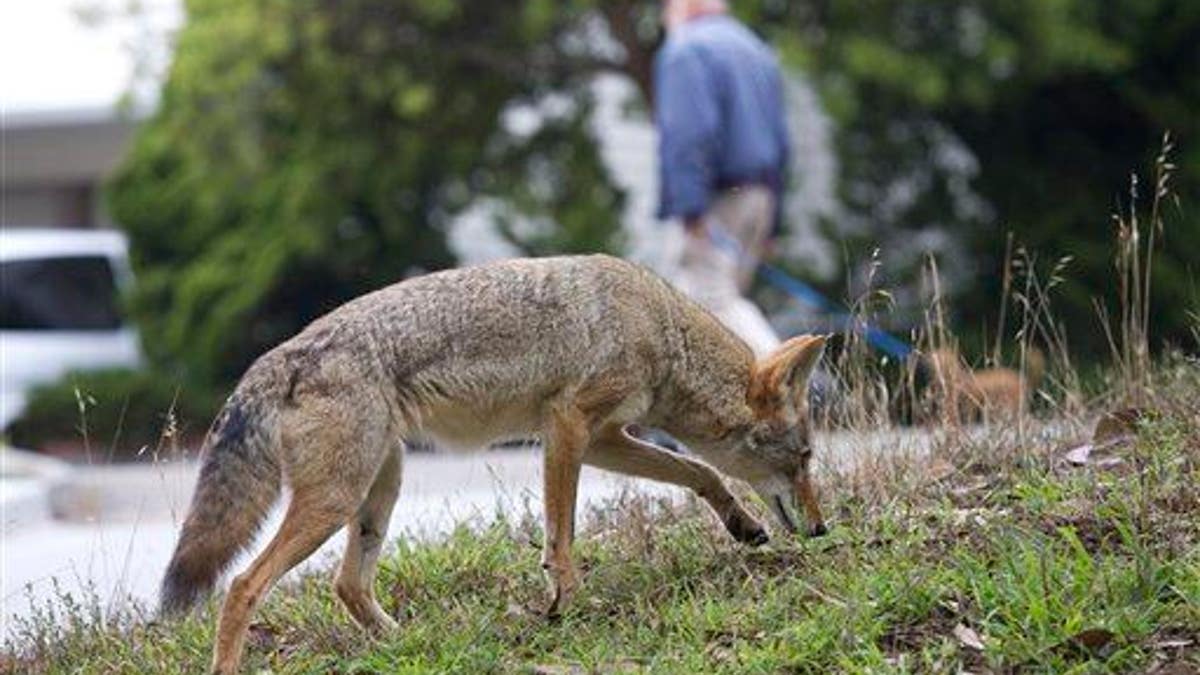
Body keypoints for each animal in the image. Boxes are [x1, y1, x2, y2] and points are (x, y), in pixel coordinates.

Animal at [159, 254, 830, 667]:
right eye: (804, 457)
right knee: (242, 586)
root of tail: (277, 356)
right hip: (335, 502)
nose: (824, 529)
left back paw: (406, 646)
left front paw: (742, 526)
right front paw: (568, 604)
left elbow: (701, 471)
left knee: (347, 585)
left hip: (379, 490)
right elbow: (562, 537)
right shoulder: (568, 428)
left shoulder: (607, 437)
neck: (660, 330)